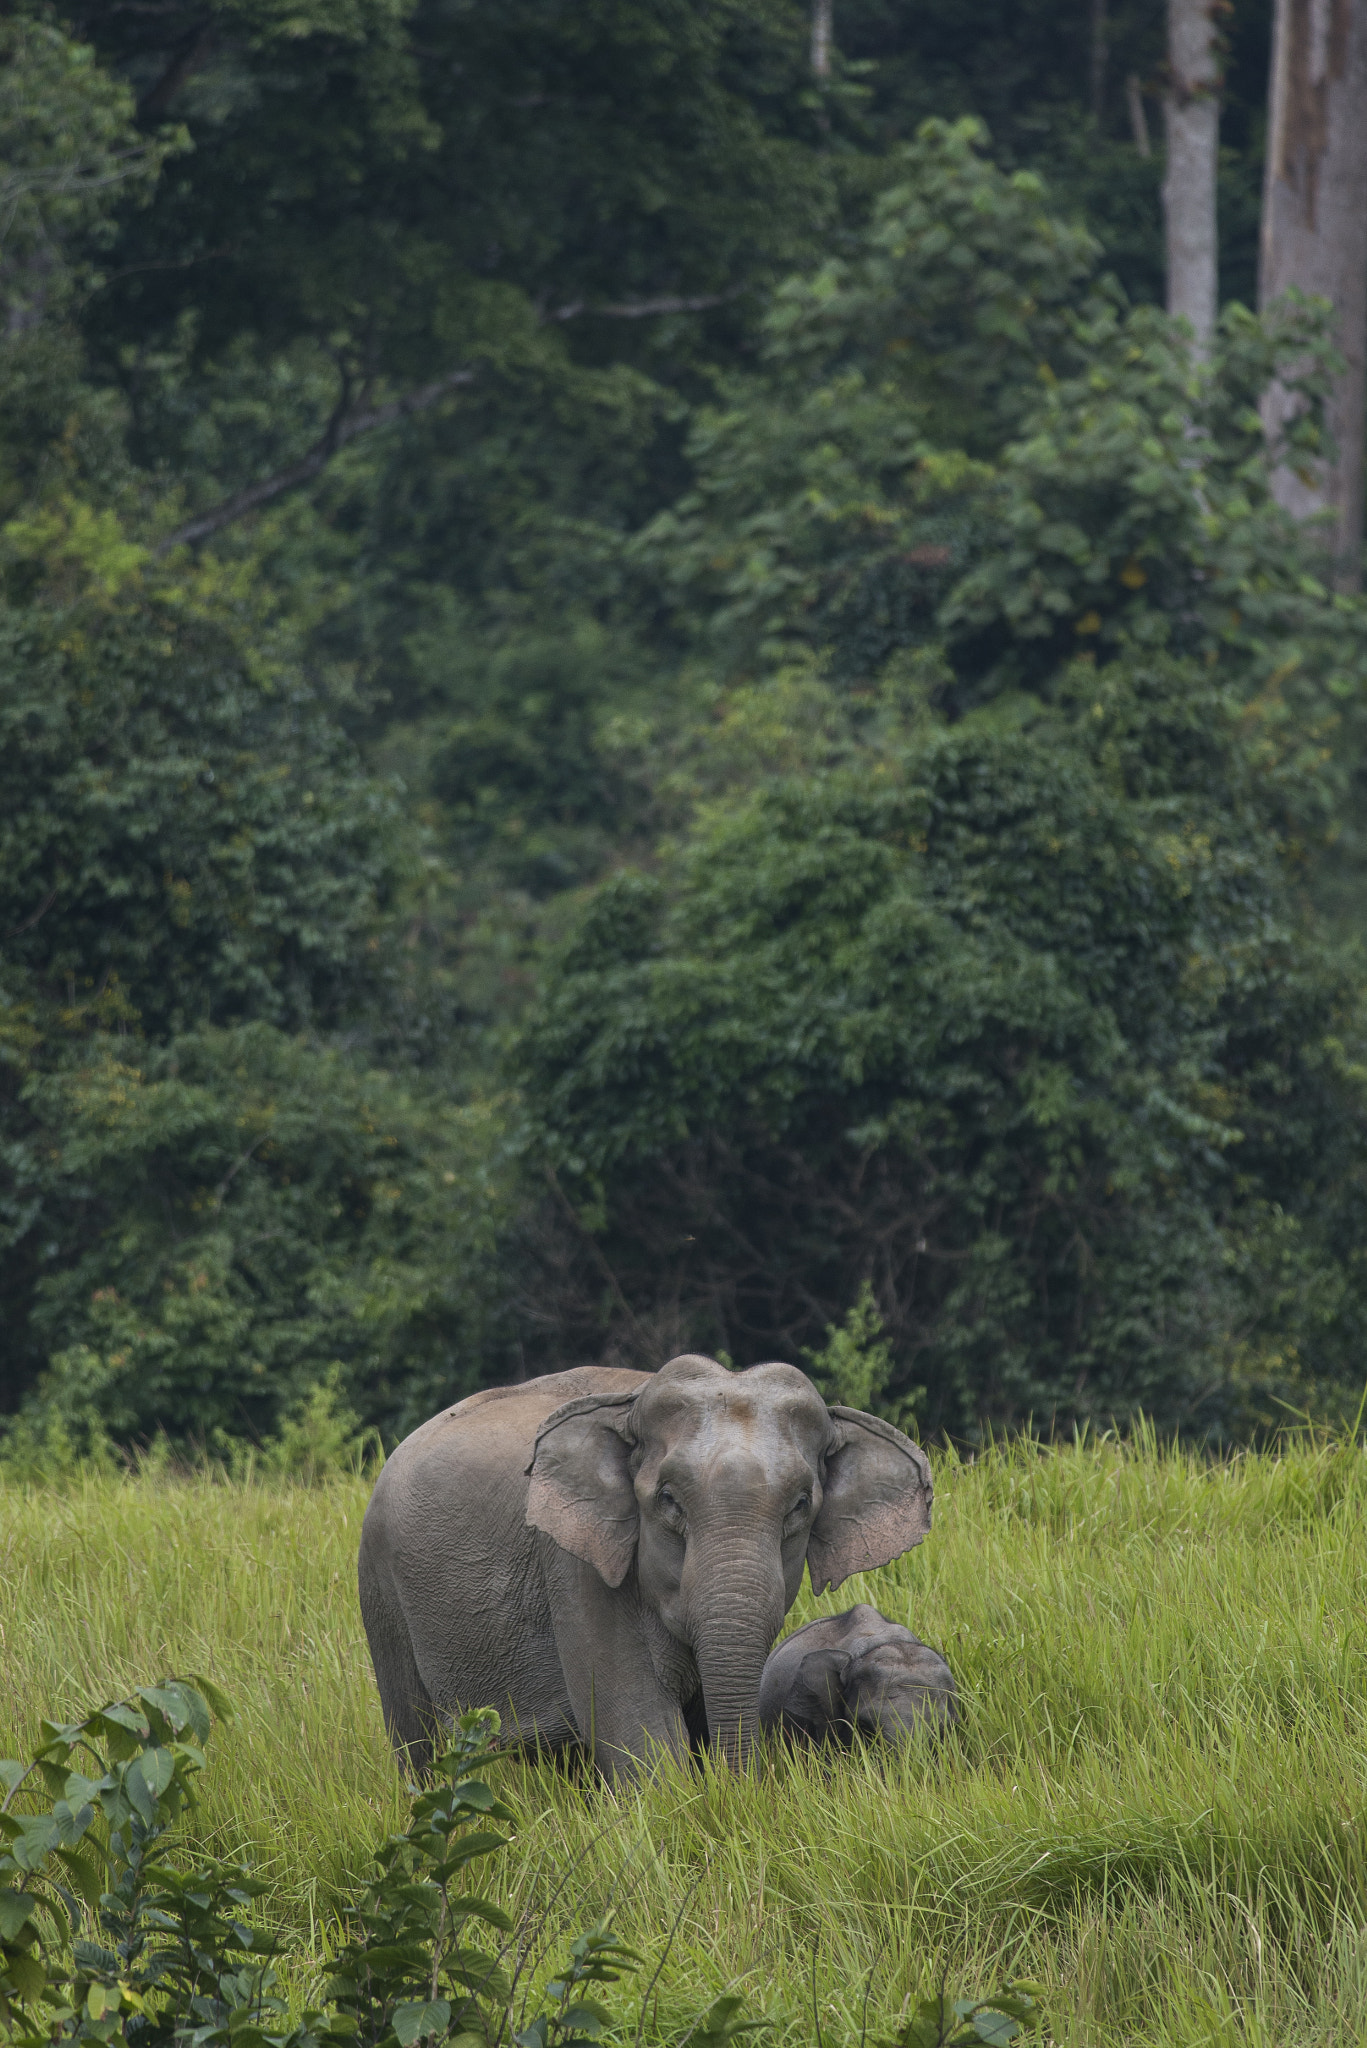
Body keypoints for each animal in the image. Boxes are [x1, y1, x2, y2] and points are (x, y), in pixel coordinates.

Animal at [356, 1351, 930, 1769]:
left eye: (801, 1505)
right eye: (669, 1500)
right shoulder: (576, 1565)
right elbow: (641, 1735)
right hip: (380, 1586)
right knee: (417, 1741)